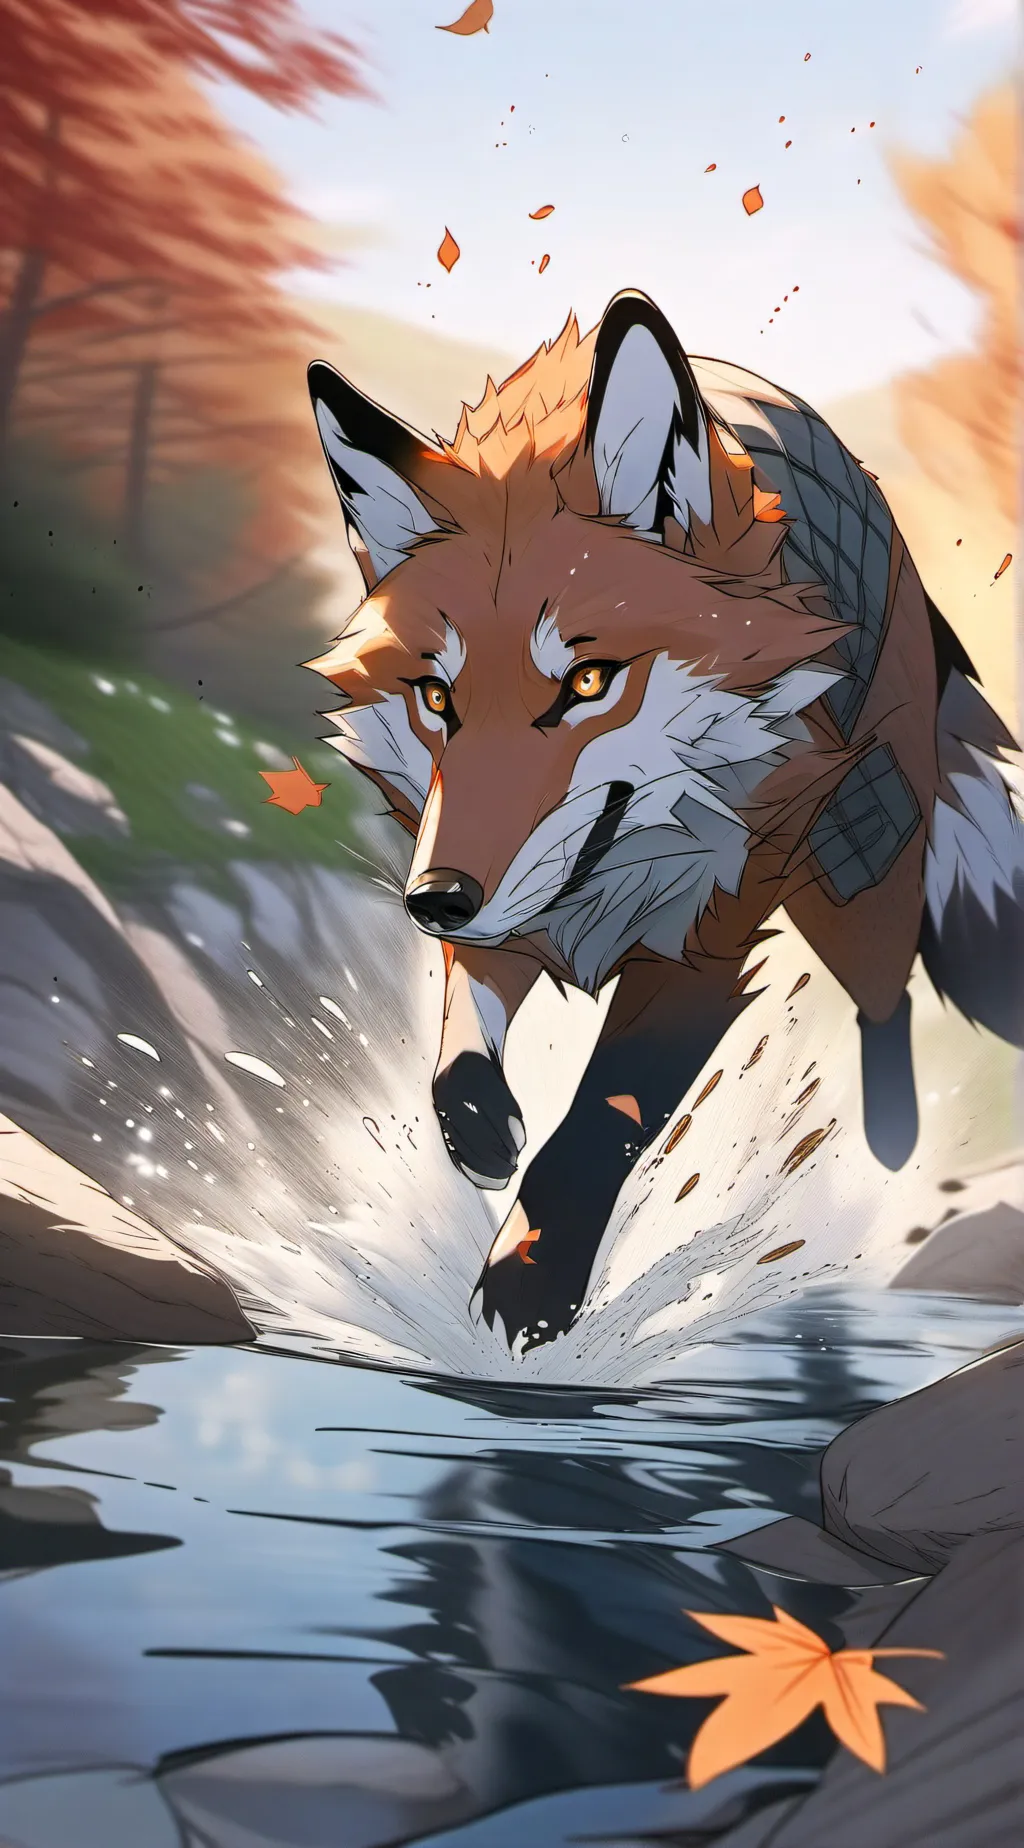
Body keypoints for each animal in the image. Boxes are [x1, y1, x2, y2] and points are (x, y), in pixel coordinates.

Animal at [305, 291, 1024, 1350]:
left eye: (587, 683)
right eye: (438, 699)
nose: (431, 903)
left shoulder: (706, 943)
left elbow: (601, 1120)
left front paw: (531, 1282)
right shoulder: (486, 882)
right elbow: (458, 1042)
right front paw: (479, 1128)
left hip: (858, 878)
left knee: (885, 997)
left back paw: (894, 1142)